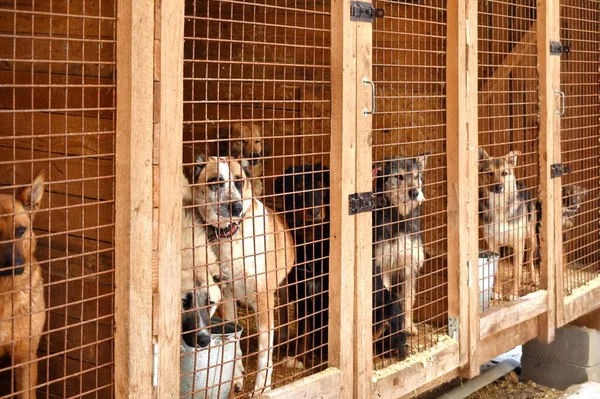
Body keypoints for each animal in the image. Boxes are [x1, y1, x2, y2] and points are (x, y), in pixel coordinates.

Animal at [191, 155, 294, 394]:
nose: (236, 207)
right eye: (215, 181)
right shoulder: (226, 296)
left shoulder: (265, 300)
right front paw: (236, 378)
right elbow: (234, 341)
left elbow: (264, 353)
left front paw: (262, 388)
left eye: (239, 181)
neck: (231, 236)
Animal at [478, 150, 540, 300]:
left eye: (505, 173)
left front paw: (513, 294)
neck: (499, 207)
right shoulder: (492, 244)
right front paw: (496, 292)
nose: (498, 187)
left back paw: (533, 278)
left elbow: (517, 272)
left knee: (529, 259)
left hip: (530, 238)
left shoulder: (518, 243)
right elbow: (496, 272)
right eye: (489, 173)